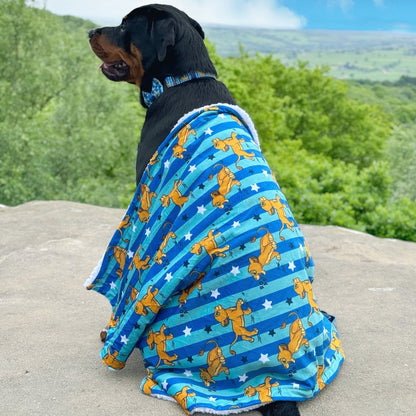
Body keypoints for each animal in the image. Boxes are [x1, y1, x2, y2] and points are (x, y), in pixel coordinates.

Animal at [87, 5, 344, 416]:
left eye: (126, 26)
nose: (91, 30)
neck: (181, 81)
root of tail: (280, 386)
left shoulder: (146, 193)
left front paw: (108, 330)